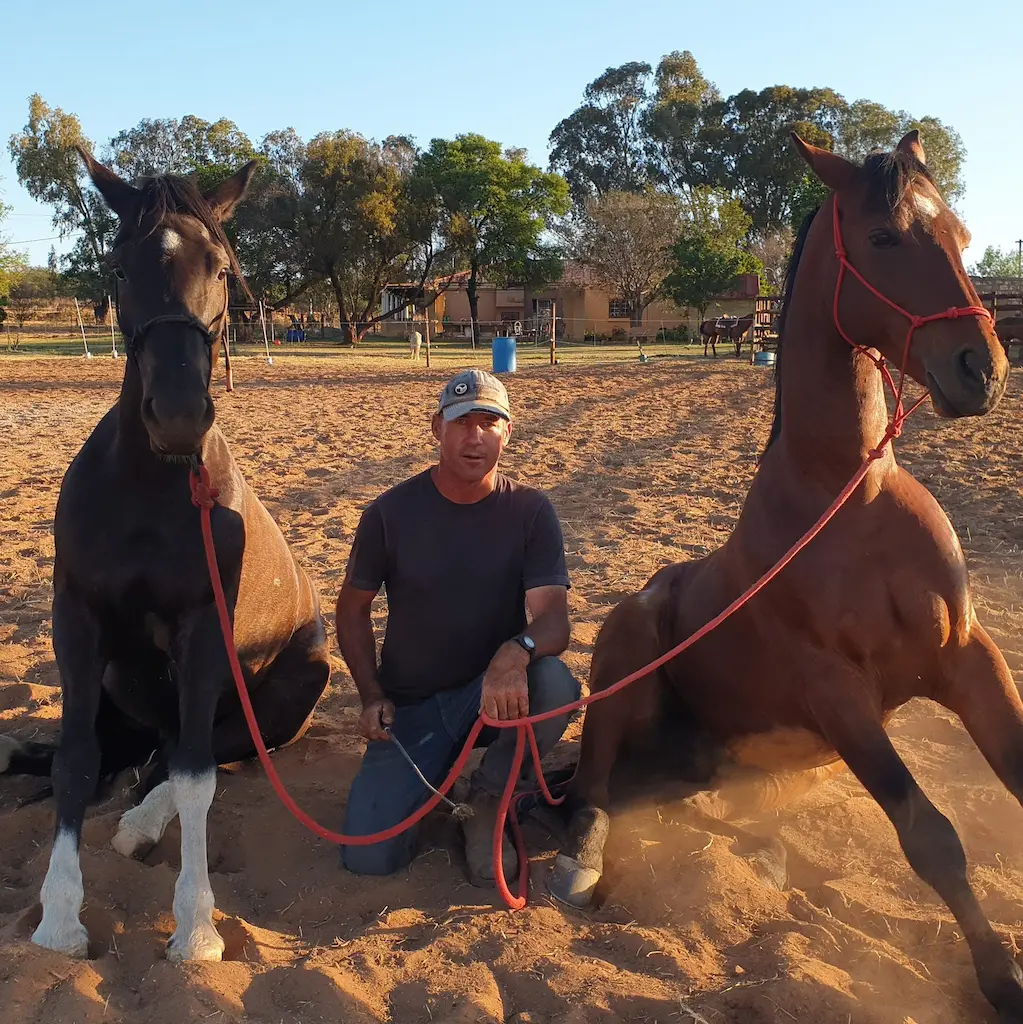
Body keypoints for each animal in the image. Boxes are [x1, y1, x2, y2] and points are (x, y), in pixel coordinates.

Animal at [1, 149, 331, 962]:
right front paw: (59, 918)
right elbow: (75, 759)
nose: (178, 414)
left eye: (222, 267)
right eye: (122, 264)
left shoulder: (202, 630)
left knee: (205, 752)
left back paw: (139, 824)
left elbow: (196, 776)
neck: (154, 490)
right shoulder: (78, 622)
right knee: (112, 753)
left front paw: (195, 927)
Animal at [547, 132, 1023, 1021]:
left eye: (962, 235)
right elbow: (931, 839)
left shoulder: (968, 657)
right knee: (587, 788)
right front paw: (997, 977)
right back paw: (581, 866)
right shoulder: (837, 695)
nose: (981, 370)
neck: (853, 500)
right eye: (882, 238)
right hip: (625, 646)